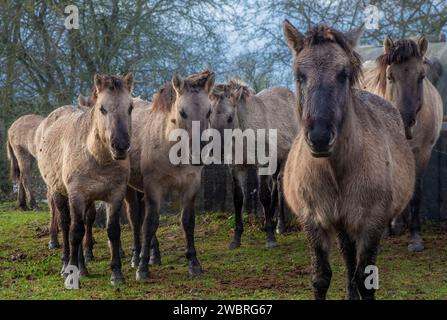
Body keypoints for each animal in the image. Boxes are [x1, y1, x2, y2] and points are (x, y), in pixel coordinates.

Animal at [36, 74, 135, 284]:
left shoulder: (115, 195)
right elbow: (76, 231)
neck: (97, 157)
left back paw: (82, 266)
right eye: (102, 109)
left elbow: (112, 231)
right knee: (67, 225)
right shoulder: (77, 195)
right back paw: (67, 264)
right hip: (59, 192)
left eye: (130, 108)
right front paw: (71, 270)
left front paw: (116, 273)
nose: (120, 146)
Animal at [125, 69, 216, 280]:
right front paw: (142, 268)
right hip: (130, 189)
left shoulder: (190, 186)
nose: (198, 154)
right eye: (182, 112)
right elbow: (149, 224)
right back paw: (136, 257)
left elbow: (187, 222)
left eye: (209, 111)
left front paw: (193, 263)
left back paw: (154, 256)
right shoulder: (154, 188)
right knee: (135, 220)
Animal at [209, 81, 300, 249]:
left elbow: (263, 195)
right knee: (274, 184)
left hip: (285, 157)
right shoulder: (236, 167)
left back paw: (280, 225)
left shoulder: (262, 163)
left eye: (230, 118)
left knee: (280, 183)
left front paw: (270, 238)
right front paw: (236, 239)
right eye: (209, 117)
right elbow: (238, 198)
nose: (215, 150)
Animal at [284, 22, 416, 300]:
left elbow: (365, 277)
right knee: (347, 258)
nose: (320, 137)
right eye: (299, 75)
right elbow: (321, 277)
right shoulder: (313, 221)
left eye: (343, 74)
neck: (336, 172)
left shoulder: (371, 224)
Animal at [364, 36, 444, 251]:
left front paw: (415, 238)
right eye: (390, 76)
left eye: (421, 76)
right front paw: (383, 231)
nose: (405, 121)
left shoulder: (422, 153)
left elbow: (415, 192)